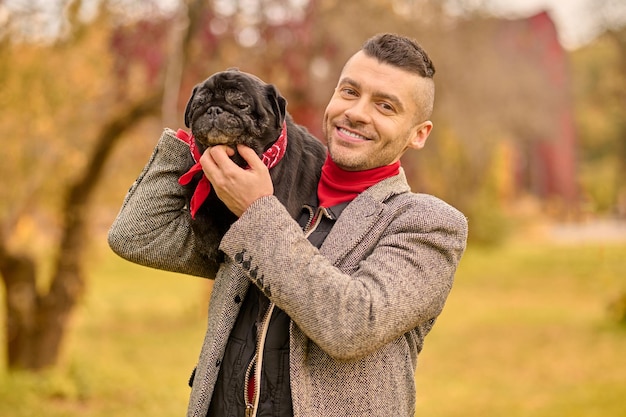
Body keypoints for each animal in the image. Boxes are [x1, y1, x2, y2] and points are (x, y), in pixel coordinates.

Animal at [180, 67, 326, 266]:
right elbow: (199, 216)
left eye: (241, 105)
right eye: (198, 105)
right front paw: (209, 247)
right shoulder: (193, 187)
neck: (235, 161)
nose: (213, 109)